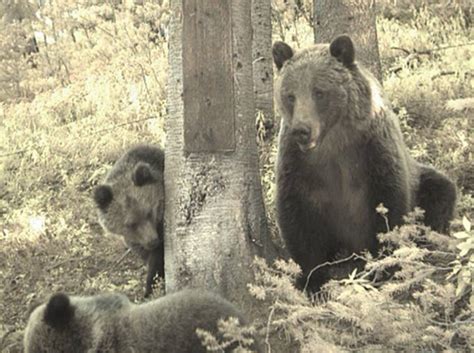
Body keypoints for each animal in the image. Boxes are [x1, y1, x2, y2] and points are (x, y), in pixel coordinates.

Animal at [93, 144, 166, 296]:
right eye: (131, 224)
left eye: (149, 212)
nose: (153, 241)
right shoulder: (134, 240)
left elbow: (158, 260)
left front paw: (150, 288)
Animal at [272, 35, 458, 290]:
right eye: (290, 96)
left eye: (319, 92)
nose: (302, 130)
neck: (333, 142)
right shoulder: (299, 165)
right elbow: (297, 219)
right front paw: (310, 279)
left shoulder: (371, 152)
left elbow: (387, 206)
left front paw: (384, 266)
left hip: (422, 180)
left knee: (440, 190)